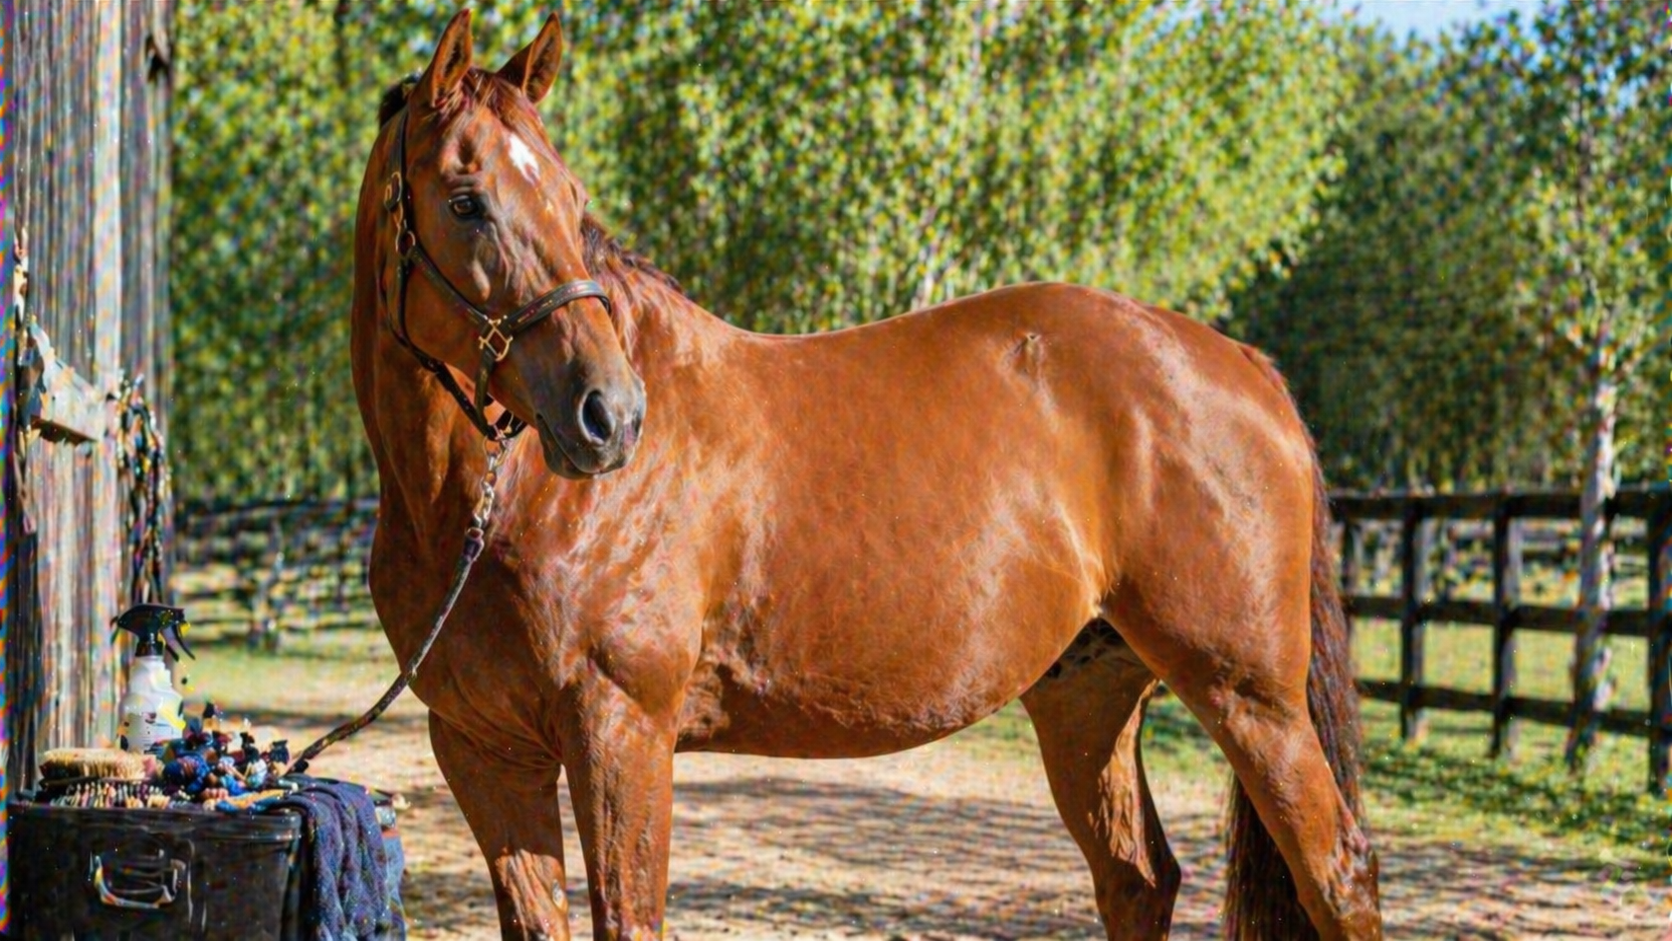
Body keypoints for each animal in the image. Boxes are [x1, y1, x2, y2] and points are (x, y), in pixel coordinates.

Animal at [350, 10, 1382, 941]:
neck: (501, 503)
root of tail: (1241, 362)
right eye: (466, 200)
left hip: (1250, 697)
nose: (609, 414)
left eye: (570, 199)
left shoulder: (620, 730)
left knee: (1336, 873)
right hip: (1089, 695)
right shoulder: (486, 751)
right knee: (1138, 880)